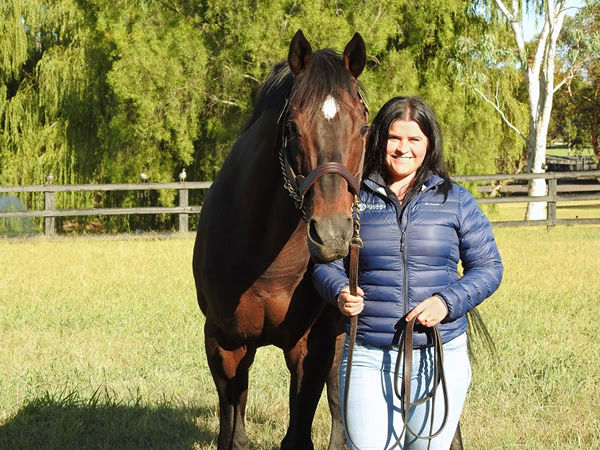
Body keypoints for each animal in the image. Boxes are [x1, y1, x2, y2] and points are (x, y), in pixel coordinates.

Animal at [192, 29, 370, 448]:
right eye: (291, 127)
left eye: (364, 127)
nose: (333, 234)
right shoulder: (223, 342)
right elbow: (232, 426)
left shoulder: (311, 347)